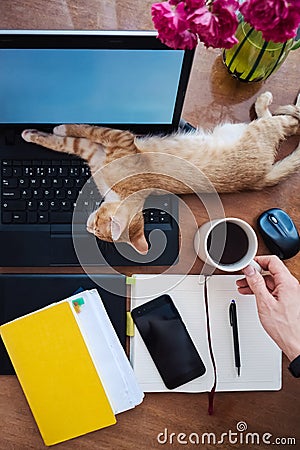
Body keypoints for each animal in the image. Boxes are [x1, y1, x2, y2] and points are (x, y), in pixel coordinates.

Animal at [21, 91, 300, 253]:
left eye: (98, 228)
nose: (88, 228)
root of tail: (260, 178)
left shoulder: (113, 141)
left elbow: (82, 131)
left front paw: (52, 128)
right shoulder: (96, 149)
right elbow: (71, 136)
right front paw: (45, 131)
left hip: (263, 131)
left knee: (288, 124)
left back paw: (268, 101)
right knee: (280, 122)